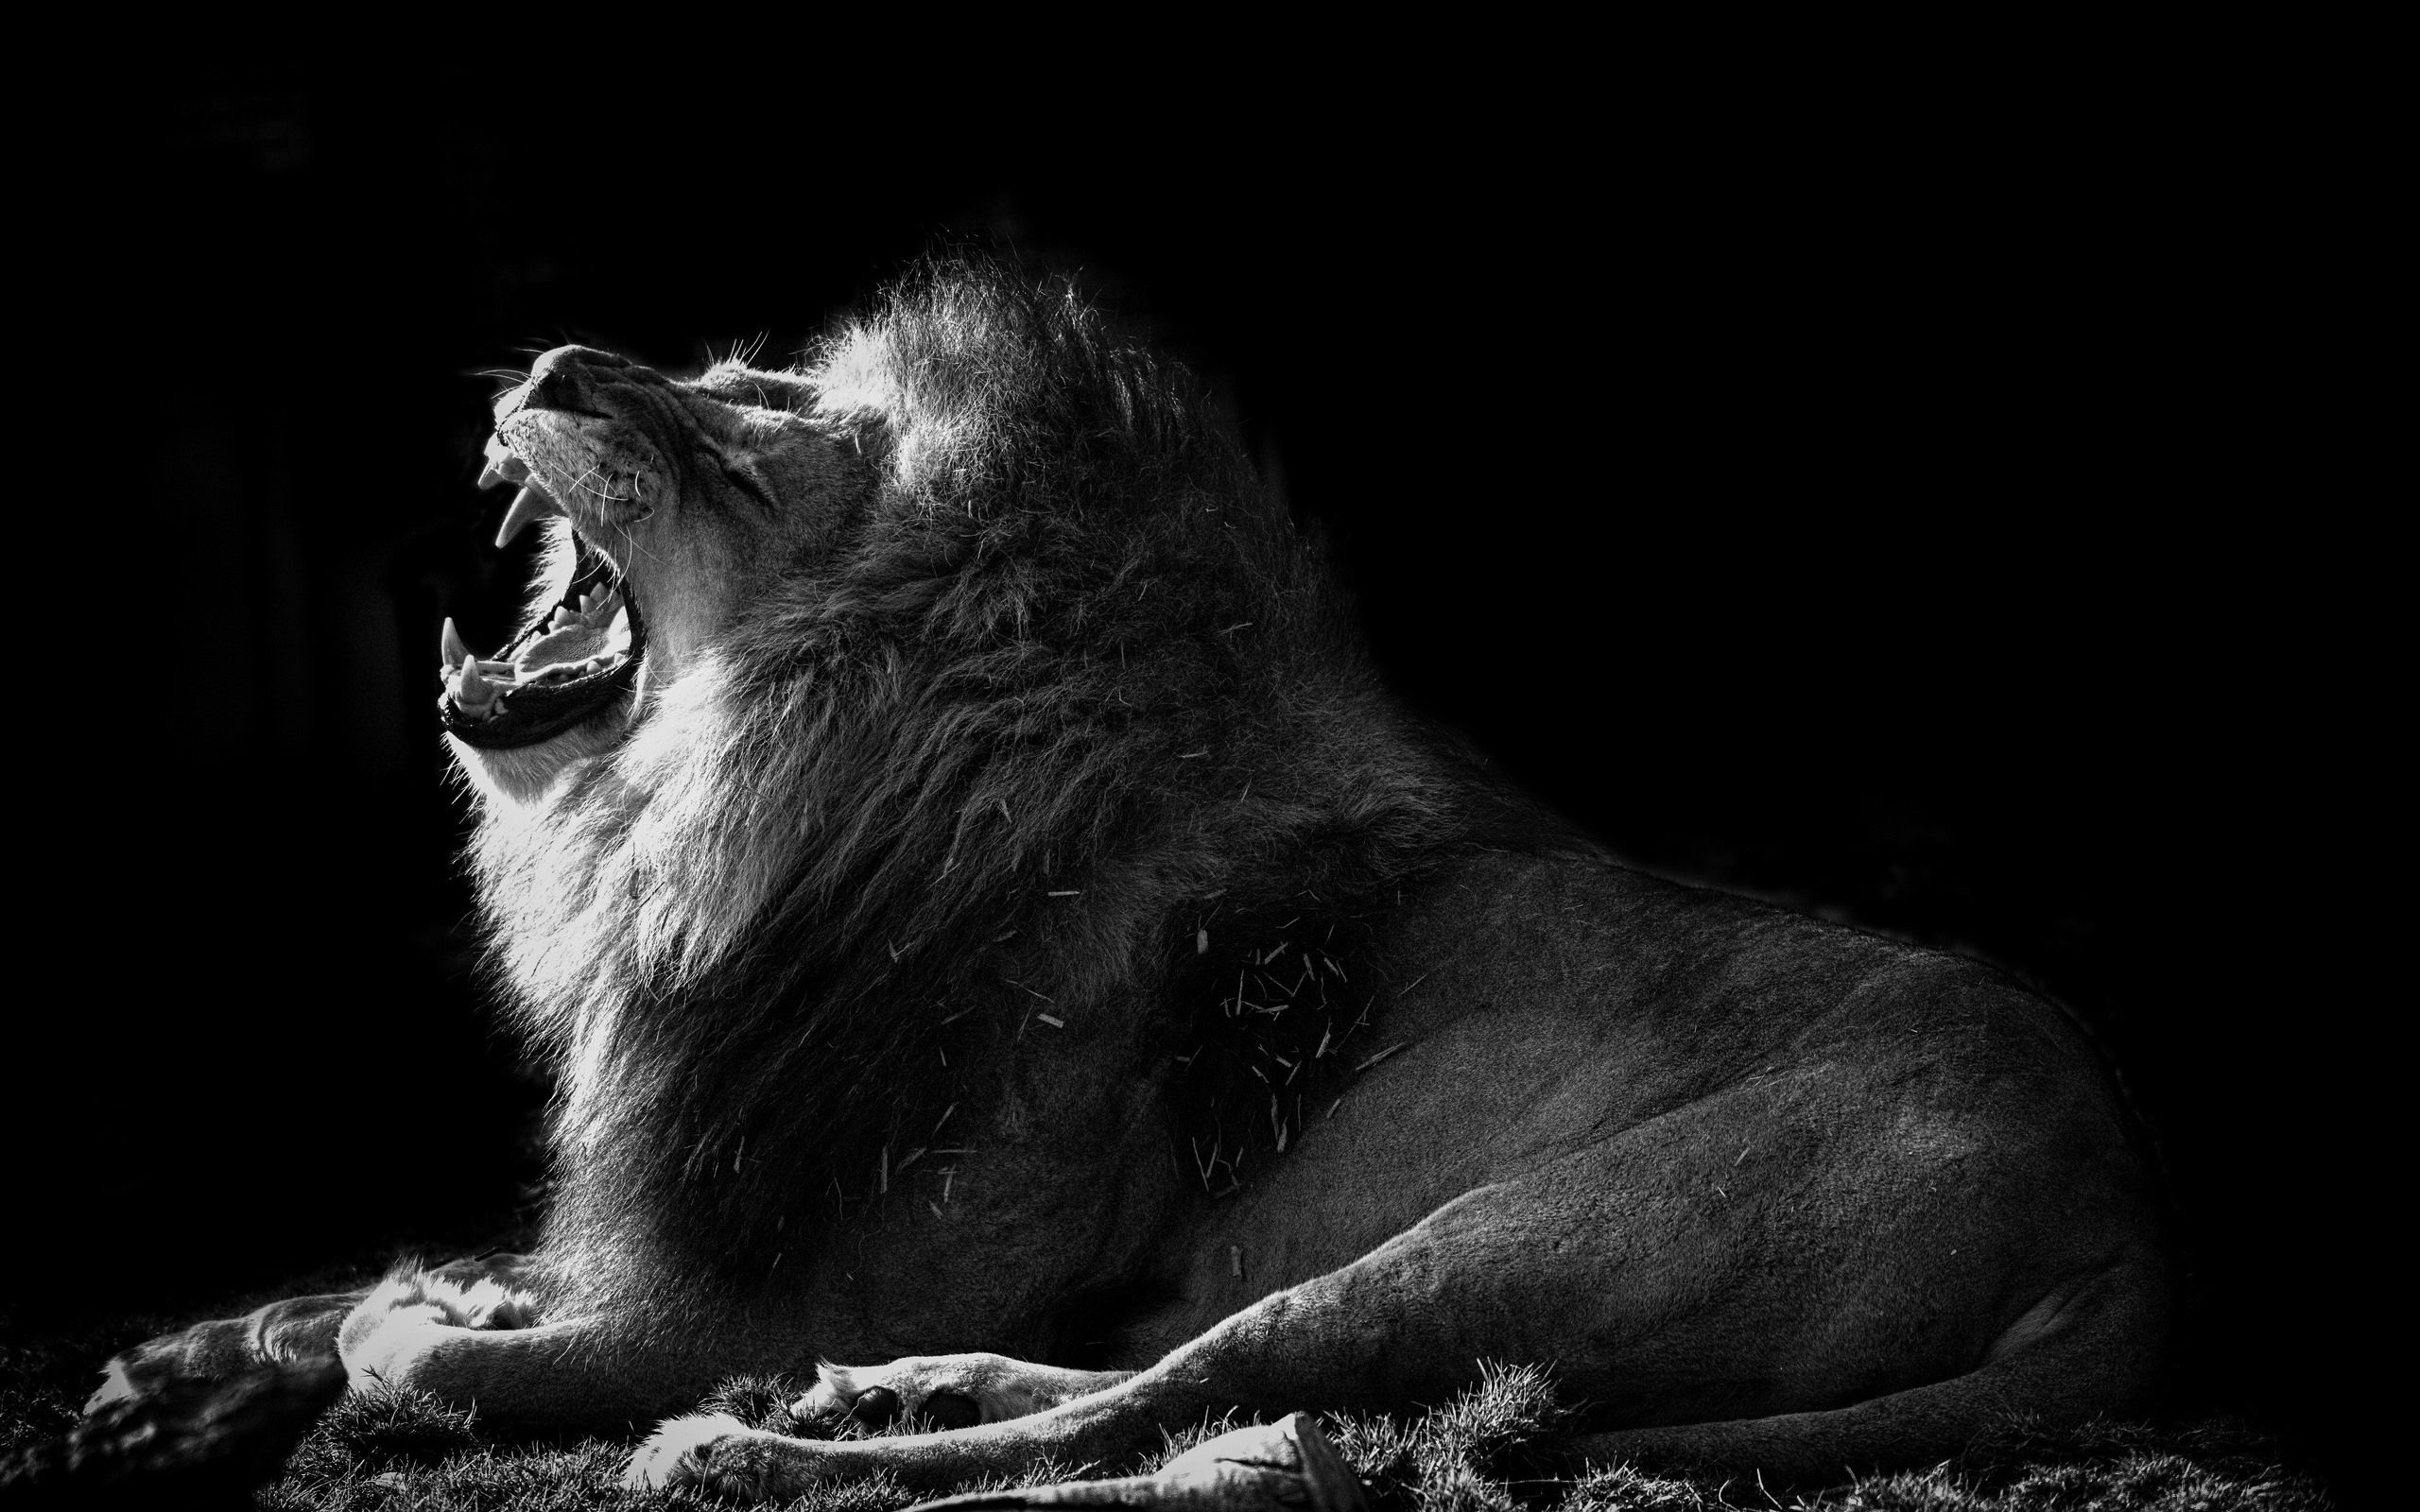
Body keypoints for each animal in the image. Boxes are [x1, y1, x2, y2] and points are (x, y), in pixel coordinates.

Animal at [93, 257, 2169, 1502]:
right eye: (721, 369)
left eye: (747, 438)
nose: (555, 363)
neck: (710, 817)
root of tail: (2130, 1225)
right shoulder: (710, 1220)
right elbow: (357, 1272)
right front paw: (182, 1365)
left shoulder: (734, 1296)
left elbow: (427, 1351)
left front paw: (410, 1331)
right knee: (1165, 1368)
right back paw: (906, 1388)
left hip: (1543, 1234)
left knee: (1197, 1398)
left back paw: (772, 1450)